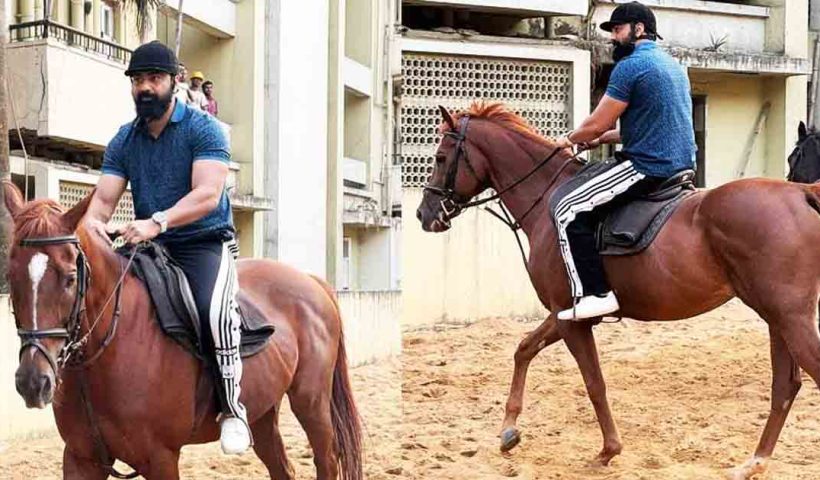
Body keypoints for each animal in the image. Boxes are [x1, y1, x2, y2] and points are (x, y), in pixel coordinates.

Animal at [3, 181, 362, 480]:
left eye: (69, 277)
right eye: (12, 275)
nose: (33, 382)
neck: (107, 352)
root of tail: (311, 281)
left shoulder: (160, 458)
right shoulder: (82, 458)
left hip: (311, 403)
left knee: (326, 460)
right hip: (263, 412)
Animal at [416, 102, 820, 480]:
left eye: (440, 157)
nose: (424, 213)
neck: (545, 201)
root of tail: (801, 193)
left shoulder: (571, 320)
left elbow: (594, 382)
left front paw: (609, 450)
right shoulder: (564, 313)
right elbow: (524, 349)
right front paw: (509, 431)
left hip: (789, 318)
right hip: (777, 319)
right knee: (785, 386)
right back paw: (754, 462)